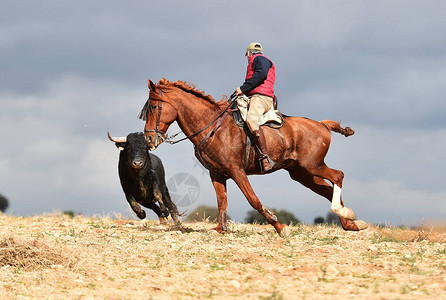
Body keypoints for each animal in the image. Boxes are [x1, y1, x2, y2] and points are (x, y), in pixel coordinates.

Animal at [141, 78, 368, 237]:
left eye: (154, 107)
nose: (149, 138)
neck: (212, 127)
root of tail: (321, 125)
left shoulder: (237, 171)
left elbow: (253, 200)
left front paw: (279, 226)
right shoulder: (216, 173)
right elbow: (222, 201)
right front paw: (220, 229)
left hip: (312, 165)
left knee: (338, 176)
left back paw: (345, 214)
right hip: (302, 174)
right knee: (328, 189)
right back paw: (350, 222)